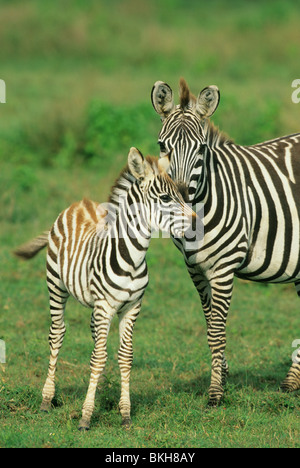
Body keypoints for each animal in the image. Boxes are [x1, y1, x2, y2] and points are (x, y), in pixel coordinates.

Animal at [15, 148, 196, 430]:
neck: (132, 257)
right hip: (56, 286)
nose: (196, 222)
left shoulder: (132, 308)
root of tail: (79, 203)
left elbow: (124, 356)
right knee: (57, 334)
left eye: (182, 194)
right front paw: (86, 417)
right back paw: (47, 399)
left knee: (94, 340)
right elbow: (98, 358)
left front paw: (125, 413)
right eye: (166, 197)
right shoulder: (105, 306)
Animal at [151, 79, 300, 406]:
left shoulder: (223, 267)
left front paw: (216, 392)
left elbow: (218, 329)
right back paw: (292, 380)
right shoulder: (194, 269)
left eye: (201, 148)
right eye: (162, 146)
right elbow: (210, 326)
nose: (183, 202)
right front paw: (223, 372)